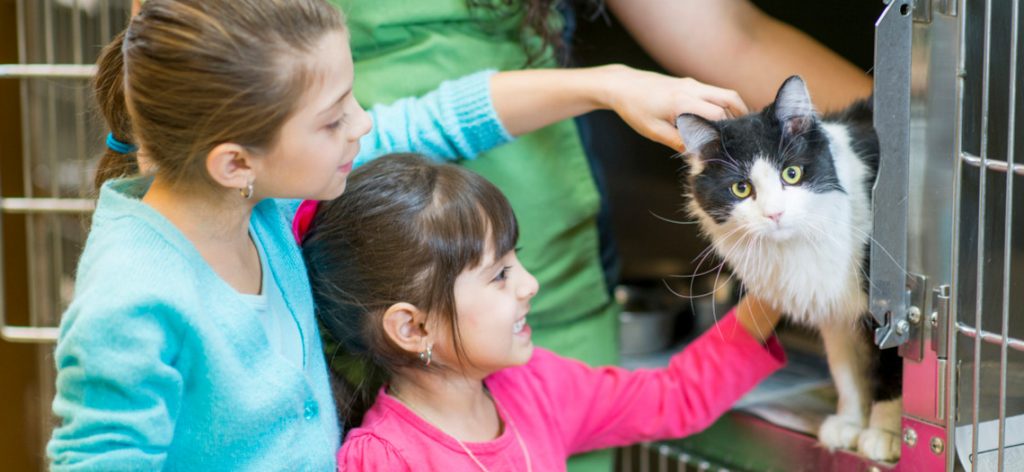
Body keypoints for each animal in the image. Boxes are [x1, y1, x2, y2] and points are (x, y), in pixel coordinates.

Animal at [679, 76, 905, 460]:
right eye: (741, 188)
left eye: (792, 173)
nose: (775, 214)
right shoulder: (834, 310)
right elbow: (847, 372)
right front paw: (850, 423)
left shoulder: (893, 310)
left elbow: (892, 369)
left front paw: (885, 433)